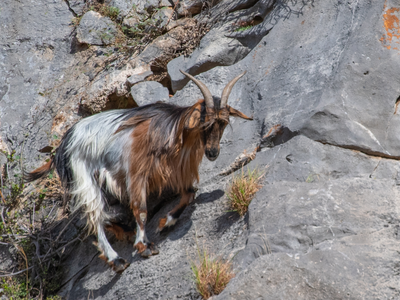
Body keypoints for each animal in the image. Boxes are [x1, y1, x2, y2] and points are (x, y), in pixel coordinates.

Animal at [23, 69, 252, 272]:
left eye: (224, 123)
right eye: (205, 123)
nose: (213, 152)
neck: (170, 130)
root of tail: (63, 143)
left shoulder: (178, 171)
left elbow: (189, 194)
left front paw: (165, 222)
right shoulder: (136, 173)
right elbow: (141, 209)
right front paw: (144, 245)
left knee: (102, 214)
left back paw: (123, 230)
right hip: (84, 177)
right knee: (94, 216)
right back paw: (116, 260)